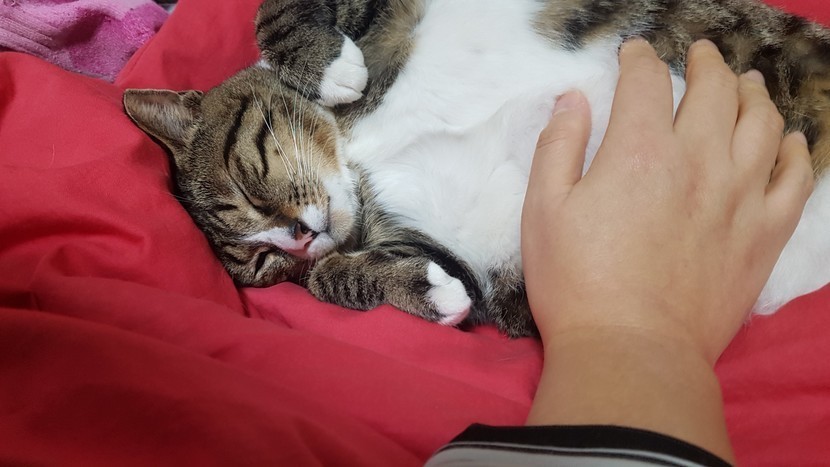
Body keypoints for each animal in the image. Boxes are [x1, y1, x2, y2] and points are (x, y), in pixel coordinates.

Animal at [124, 0, 830, 337]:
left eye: (247, 185)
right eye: (262, 265)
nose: (297, 238)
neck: (357, 148)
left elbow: (281, 6)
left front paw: (327, 70)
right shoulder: (466, 259)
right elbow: (334, 276)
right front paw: (425, 291)